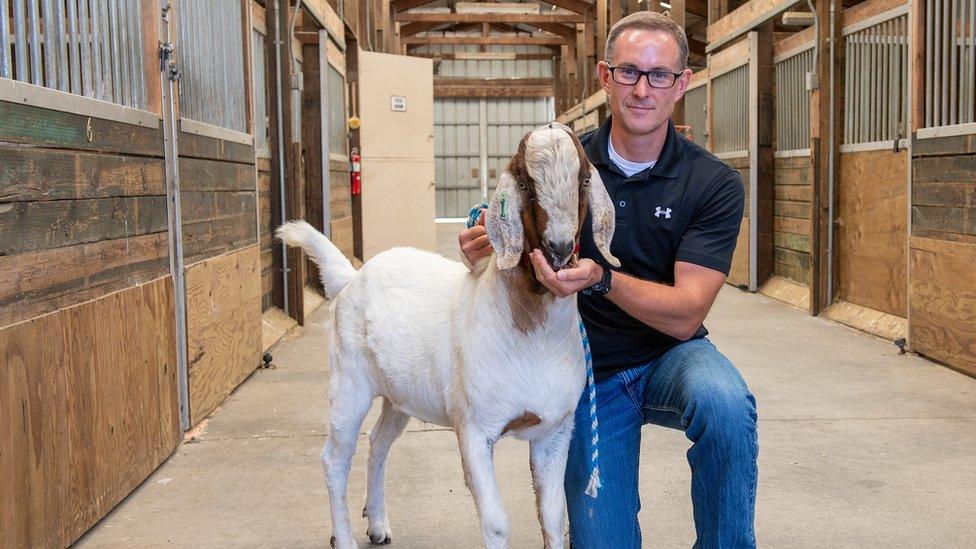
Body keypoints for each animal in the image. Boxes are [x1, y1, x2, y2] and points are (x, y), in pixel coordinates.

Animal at [276, 123, 616, 548]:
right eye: (524, 181)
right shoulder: (474, 429)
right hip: (348, 383)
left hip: (400, 395)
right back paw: (345, 537)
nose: (558, 249)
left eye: (584, 179)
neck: (531, 335)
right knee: (335, 458)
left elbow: (554, 519)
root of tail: (352, 278)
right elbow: (497, 523)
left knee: (378, 442)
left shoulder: (554, 430)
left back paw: (378, 524)